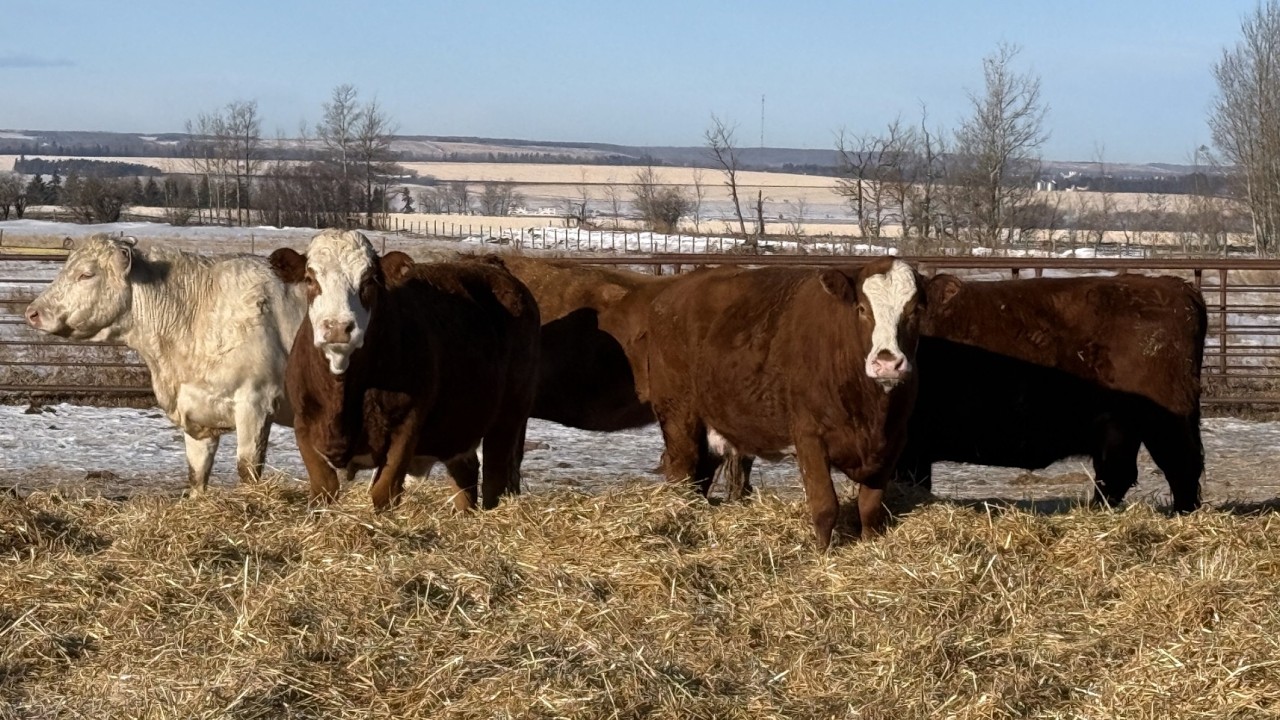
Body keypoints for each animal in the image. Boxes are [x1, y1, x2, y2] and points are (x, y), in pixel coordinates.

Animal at [25, 234, 307, 492]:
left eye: (86, 274)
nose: (32, 313)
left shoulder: (256, 403)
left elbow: (247, 469)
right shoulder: (195, 412)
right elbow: (197, 474)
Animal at [272, 230, 540, 511]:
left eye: (368, 281)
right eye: (310, 279)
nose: (337, 327)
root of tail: (492, 266)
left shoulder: (407, 425)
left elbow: (384, 492)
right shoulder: (303, 423)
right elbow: (324, 488)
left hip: (509, 416)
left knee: (494, 477)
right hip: (458, 426)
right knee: (465, 474)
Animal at [639, 258, 926, 549]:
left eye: (915, 311)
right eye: (862, 309)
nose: (888, 363)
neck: (871, 412)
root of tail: (673, 291)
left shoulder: (893, 441)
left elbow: (870, 508)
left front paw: (869, 545)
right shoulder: (809, 437)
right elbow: (825, 506)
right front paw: (822, 554)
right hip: (679, 419)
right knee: (682, 473)